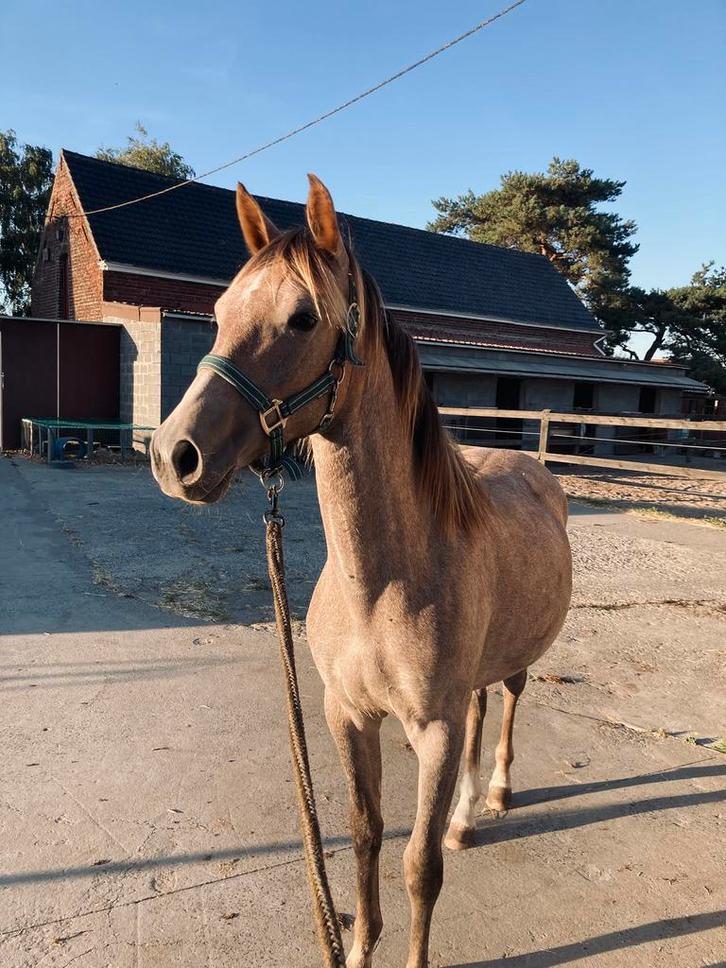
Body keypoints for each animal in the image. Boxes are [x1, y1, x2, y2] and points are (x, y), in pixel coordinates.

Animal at [151, 174, 572, 968]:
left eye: (301, 318)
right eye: (218, 314)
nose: (174, 455)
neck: (381, 588)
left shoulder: (432, 729)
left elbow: (419, 866)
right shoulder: (345, 715)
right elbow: (365, 835)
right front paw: (356, 948)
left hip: (512, 666)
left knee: (505, 704)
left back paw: (496, 794)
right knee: (480, 712)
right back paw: (465, 816)